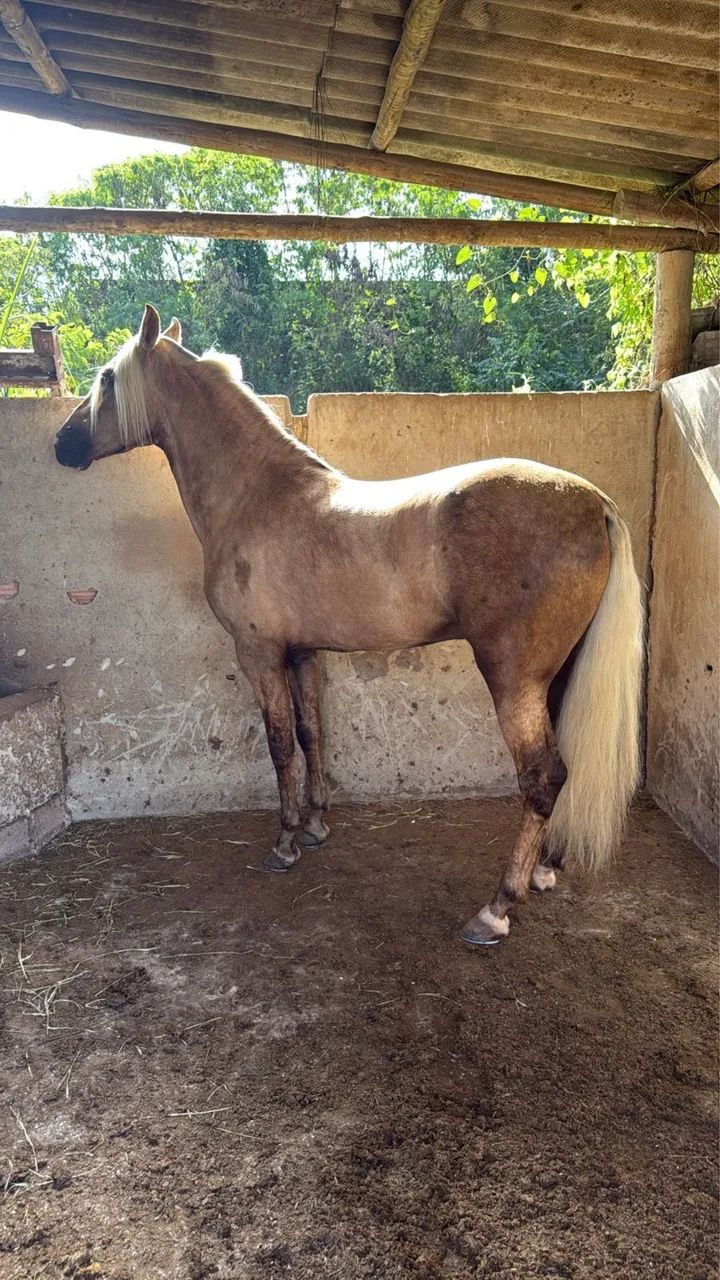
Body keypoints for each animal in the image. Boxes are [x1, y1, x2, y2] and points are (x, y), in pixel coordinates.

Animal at [55, 305, 644, 947]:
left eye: (107, 379)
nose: (61, 444)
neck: (256, 494)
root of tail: (594, 503)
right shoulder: (301, 653)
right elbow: (311, 734)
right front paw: (315, 828)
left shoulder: (258, 652)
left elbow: (279, 745)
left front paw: (285, 843)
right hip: (554, 677)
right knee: (559, 772)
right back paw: (541, 871)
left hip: (513, 681)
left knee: (541, 778)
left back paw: (496, 908)